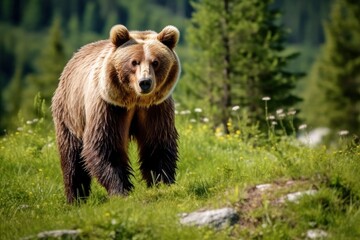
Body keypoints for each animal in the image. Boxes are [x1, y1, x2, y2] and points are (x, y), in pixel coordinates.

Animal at [51, 24, 180, 203]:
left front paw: (162, 183)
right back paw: (75, 198)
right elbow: (106, 145)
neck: (135, 100)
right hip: (69, 114)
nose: (145, 82)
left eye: (156, 62)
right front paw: (120, 189)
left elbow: (157, 143)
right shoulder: (109, 107)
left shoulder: (155, 109)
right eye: (134, 62)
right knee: (72, 157)